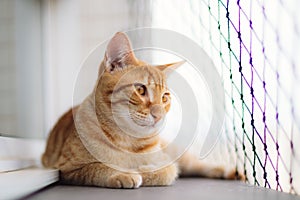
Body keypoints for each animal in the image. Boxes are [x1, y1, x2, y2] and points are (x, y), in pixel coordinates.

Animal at [42, 32, 244, 188]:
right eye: (140, 90)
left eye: (165, 97)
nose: (159, 115)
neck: (128, 141)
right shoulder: (67, 169)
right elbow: (97, 168)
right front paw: (124, 173)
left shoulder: (167, 164)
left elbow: (164, 172)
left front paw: (141, 171)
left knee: (194, 164)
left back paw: (228, 170)